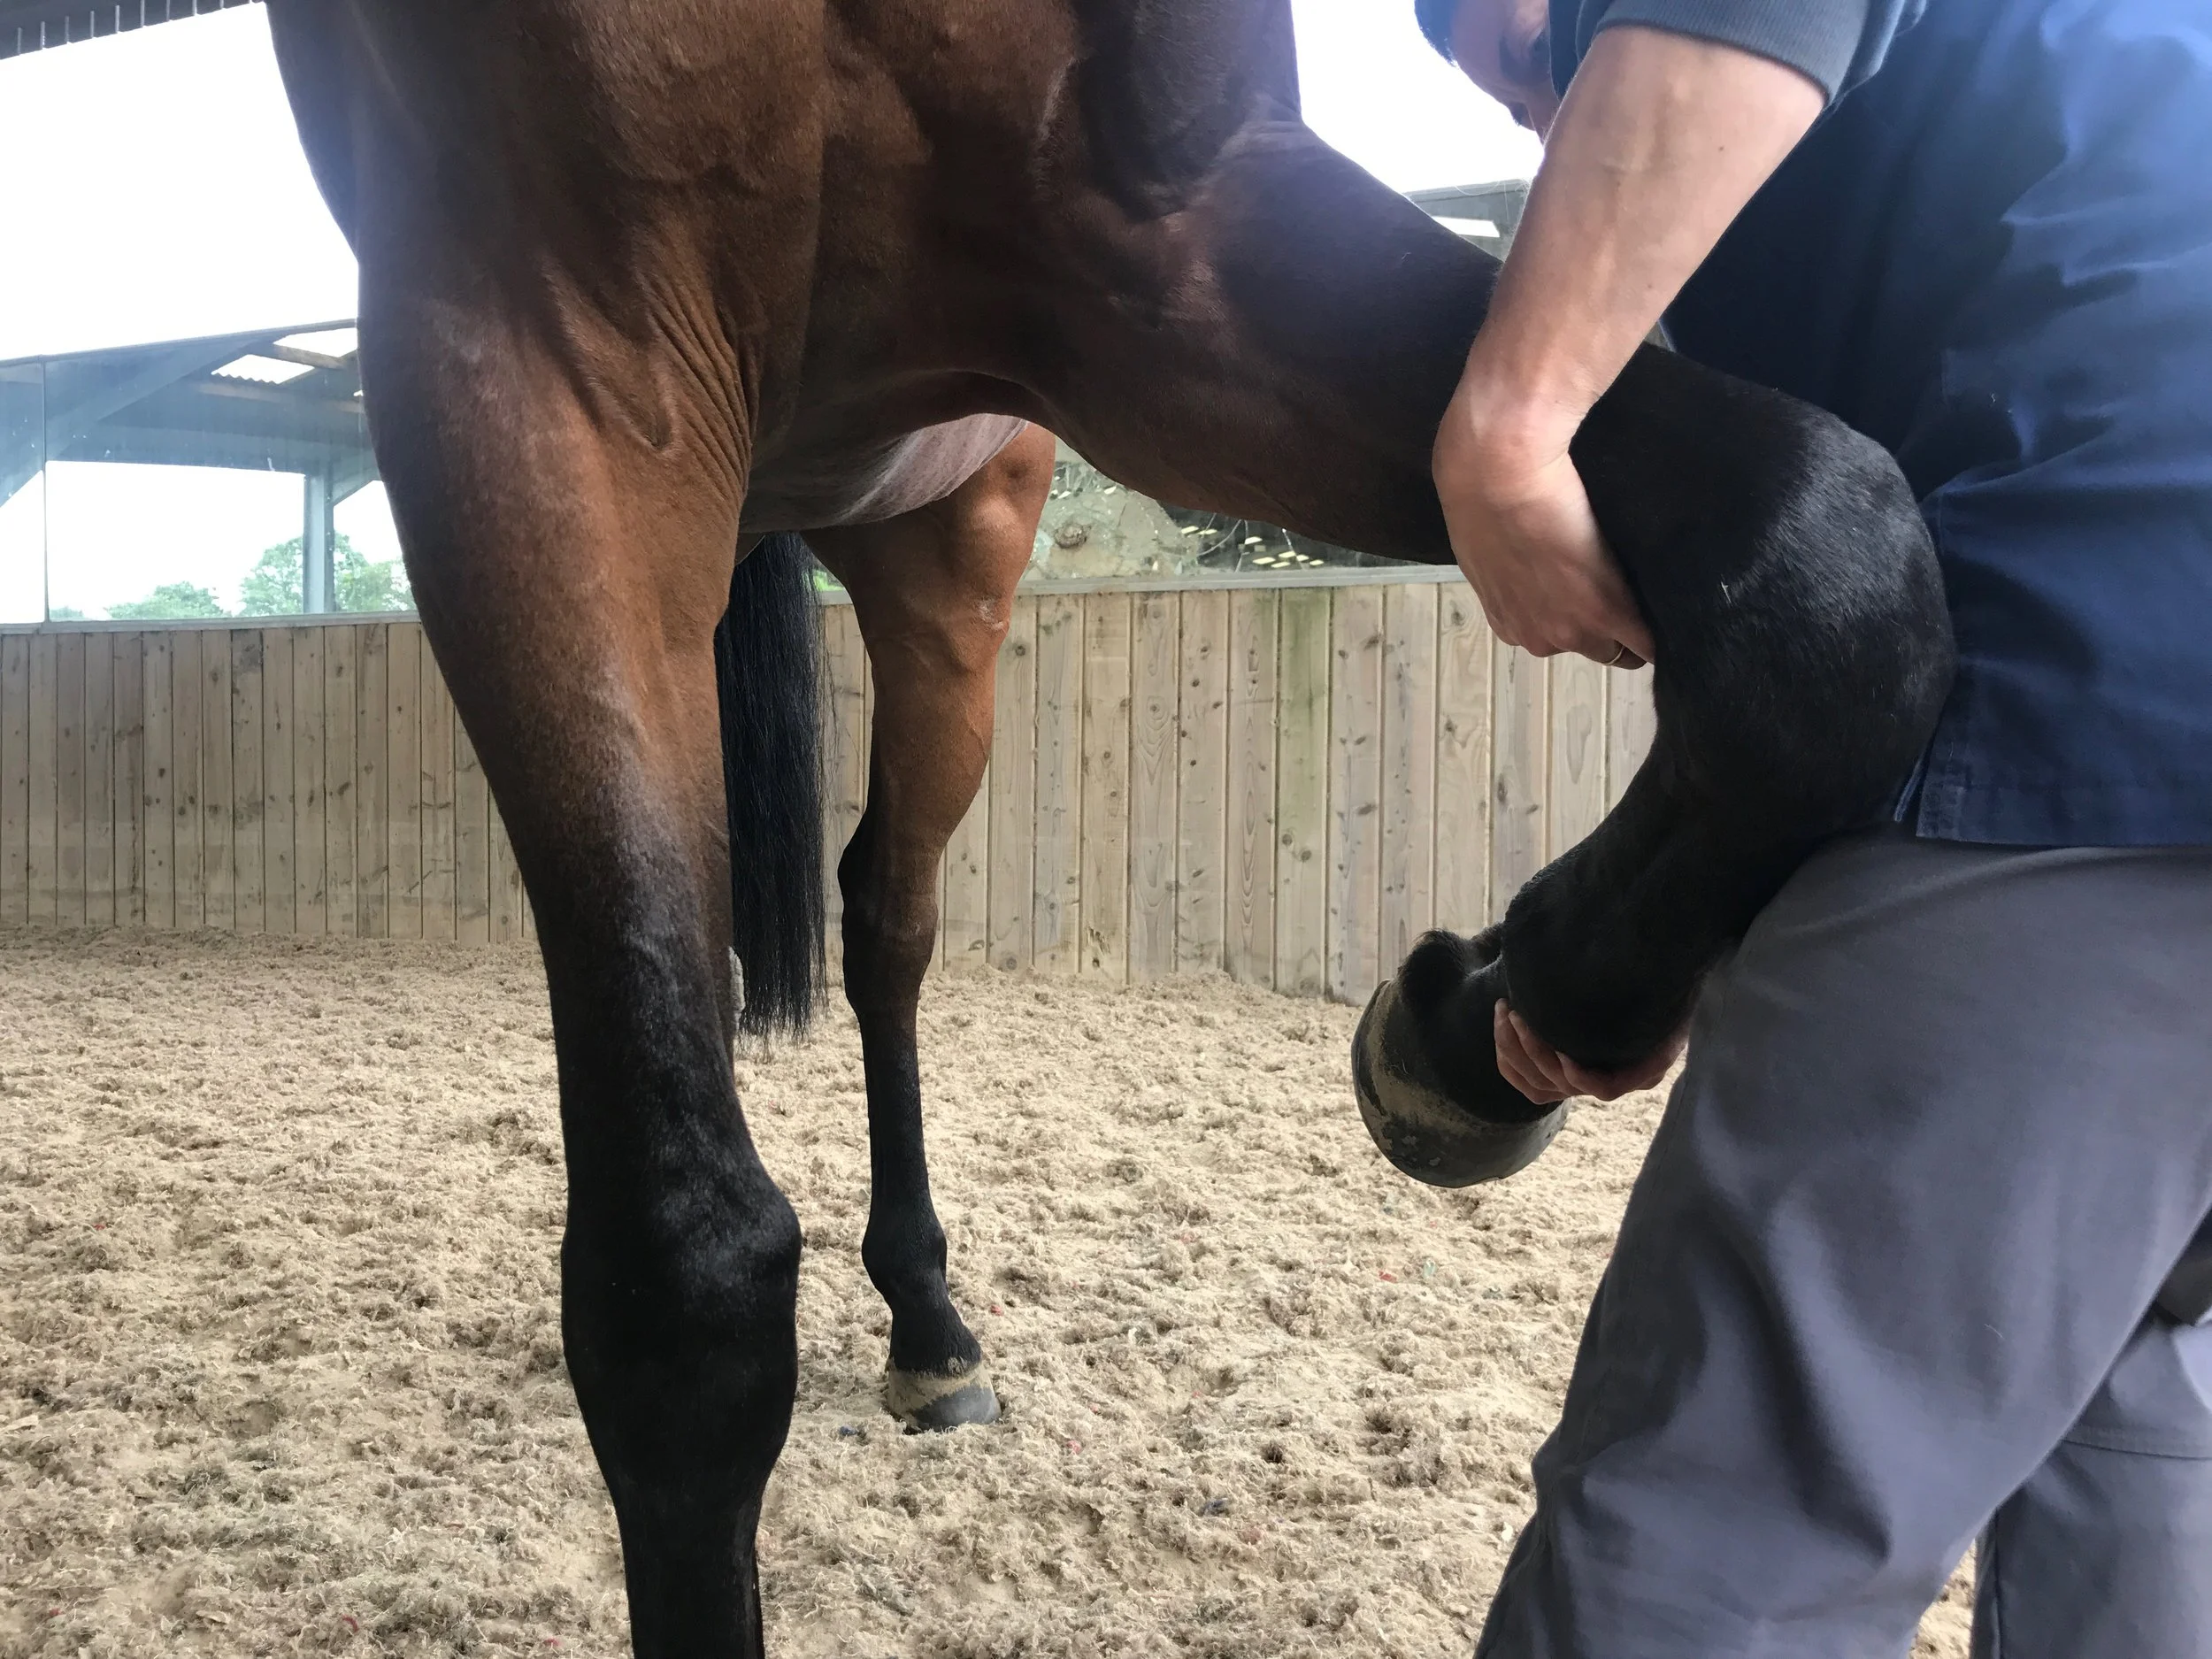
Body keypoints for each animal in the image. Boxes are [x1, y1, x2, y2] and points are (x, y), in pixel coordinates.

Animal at [256, 0, 1952, 1648]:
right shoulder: (536, 360)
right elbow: (679, 1284)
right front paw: (1485, 1014)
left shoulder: (1169, 251)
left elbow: (1834, 551)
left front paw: (1480, 1021)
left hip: (951, 552)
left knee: (887, 918)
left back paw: (934, 1326)